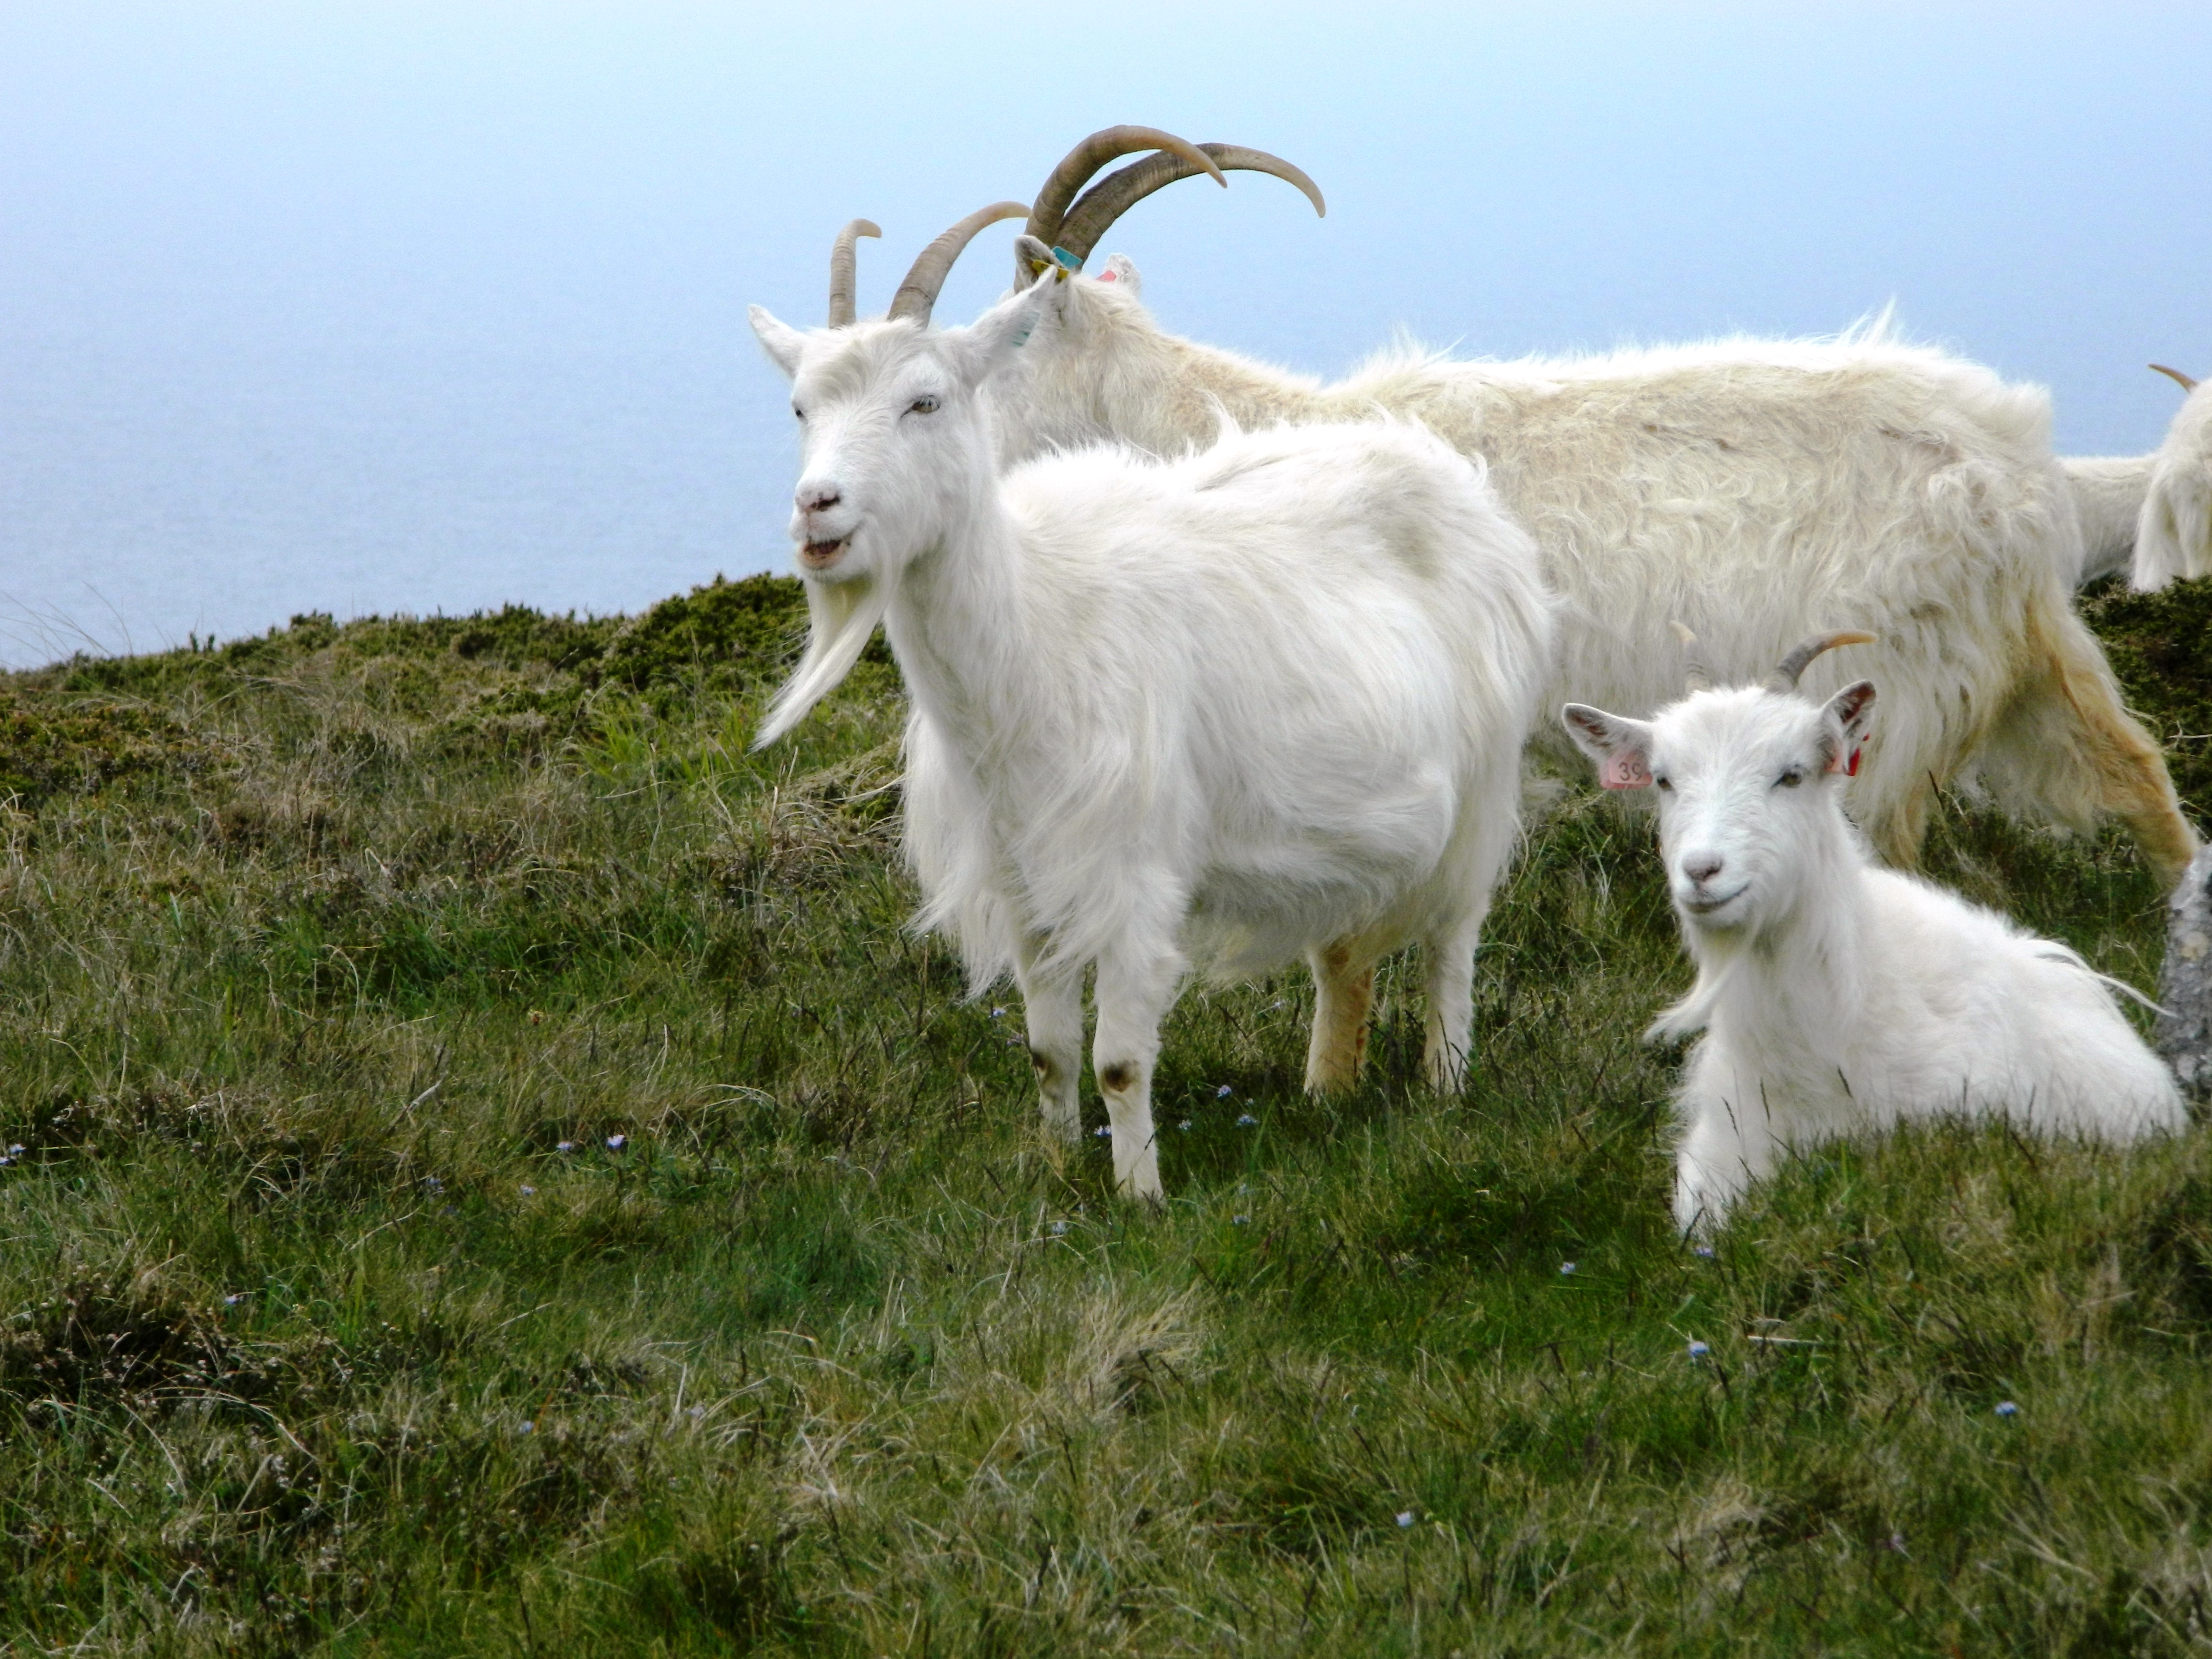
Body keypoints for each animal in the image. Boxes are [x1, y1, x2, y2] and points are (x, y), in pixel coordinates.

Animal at [747, 270, 1556, 1204]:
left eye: (926, 400)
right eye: (801, 407)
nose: (817, 509)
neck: (1035, 624)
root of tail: (1462, 486)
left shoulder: (1134, 879)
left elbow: (1120, 1063)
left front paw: (1140, 1199)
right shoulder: (1026, 881)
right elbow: (1050, 1052)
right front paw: (1057, 1171)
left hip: (1481, 794)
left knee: (1452, 945)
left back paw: (1445, 1084)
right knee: (1345, 953)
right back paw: (1327, 1091)